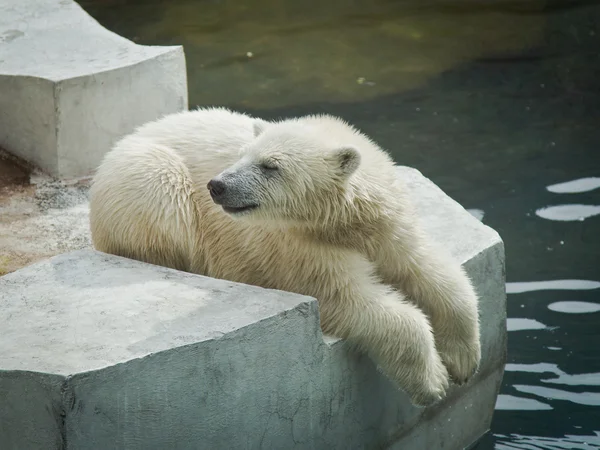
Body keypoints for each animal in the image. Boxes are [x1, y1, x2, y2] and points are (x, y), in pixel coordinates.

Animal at [90, 107, 482, 406]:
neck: (341, 222)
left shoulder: (387, 228)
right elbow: (350, 300)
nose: (217, 186)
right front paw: (434, 381)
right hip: (147, 181)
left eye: (270, 165)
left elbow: (430, 271)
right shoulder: (297, 249)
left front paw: (464, 360)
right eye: (243, 155)